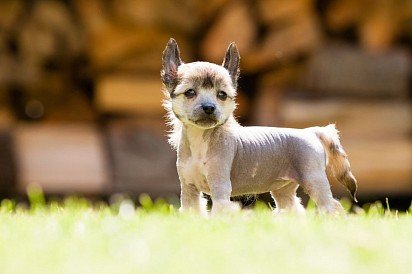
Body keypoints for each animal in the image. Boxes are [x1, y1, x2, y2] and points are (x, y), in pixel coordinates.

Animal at [161, 37, 358, 215]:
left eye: (222, 95)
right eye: (190, 92)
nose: (209, 108)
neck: (200, 140)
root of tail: (310, 131)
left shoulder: (220, 190)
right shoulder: (189, 191)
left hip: (313, 179)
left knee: (332, 207)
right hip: (283, 189)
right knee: (293, 209)